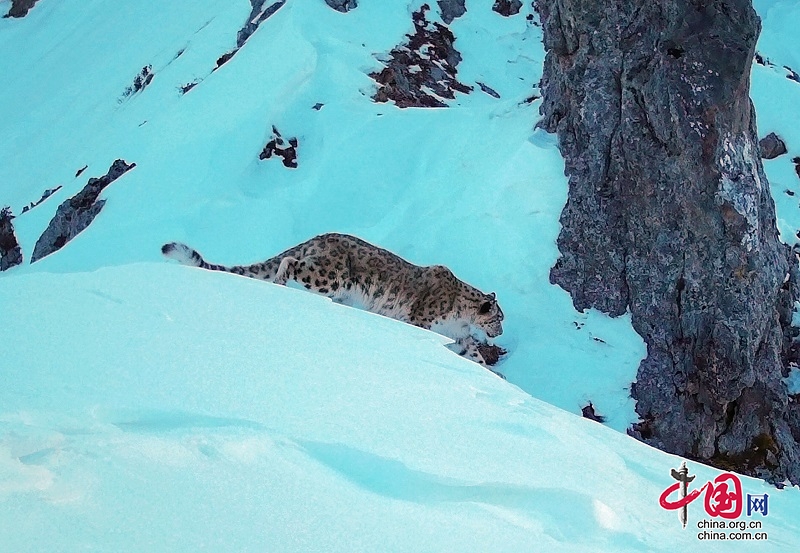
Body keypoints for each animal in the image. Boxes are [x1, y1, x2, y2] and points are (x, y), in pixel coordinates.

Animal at [159, 231, 504, 368]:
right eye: (499, 318)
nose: (500, 332)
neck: (461, 320)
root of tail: (320, 237)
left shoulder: (461, 337)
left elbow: (474, 355)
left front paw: (494, 373)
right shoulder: (422, 322)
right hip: (329, 276)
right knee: (293, 264)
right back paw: (282, 283)